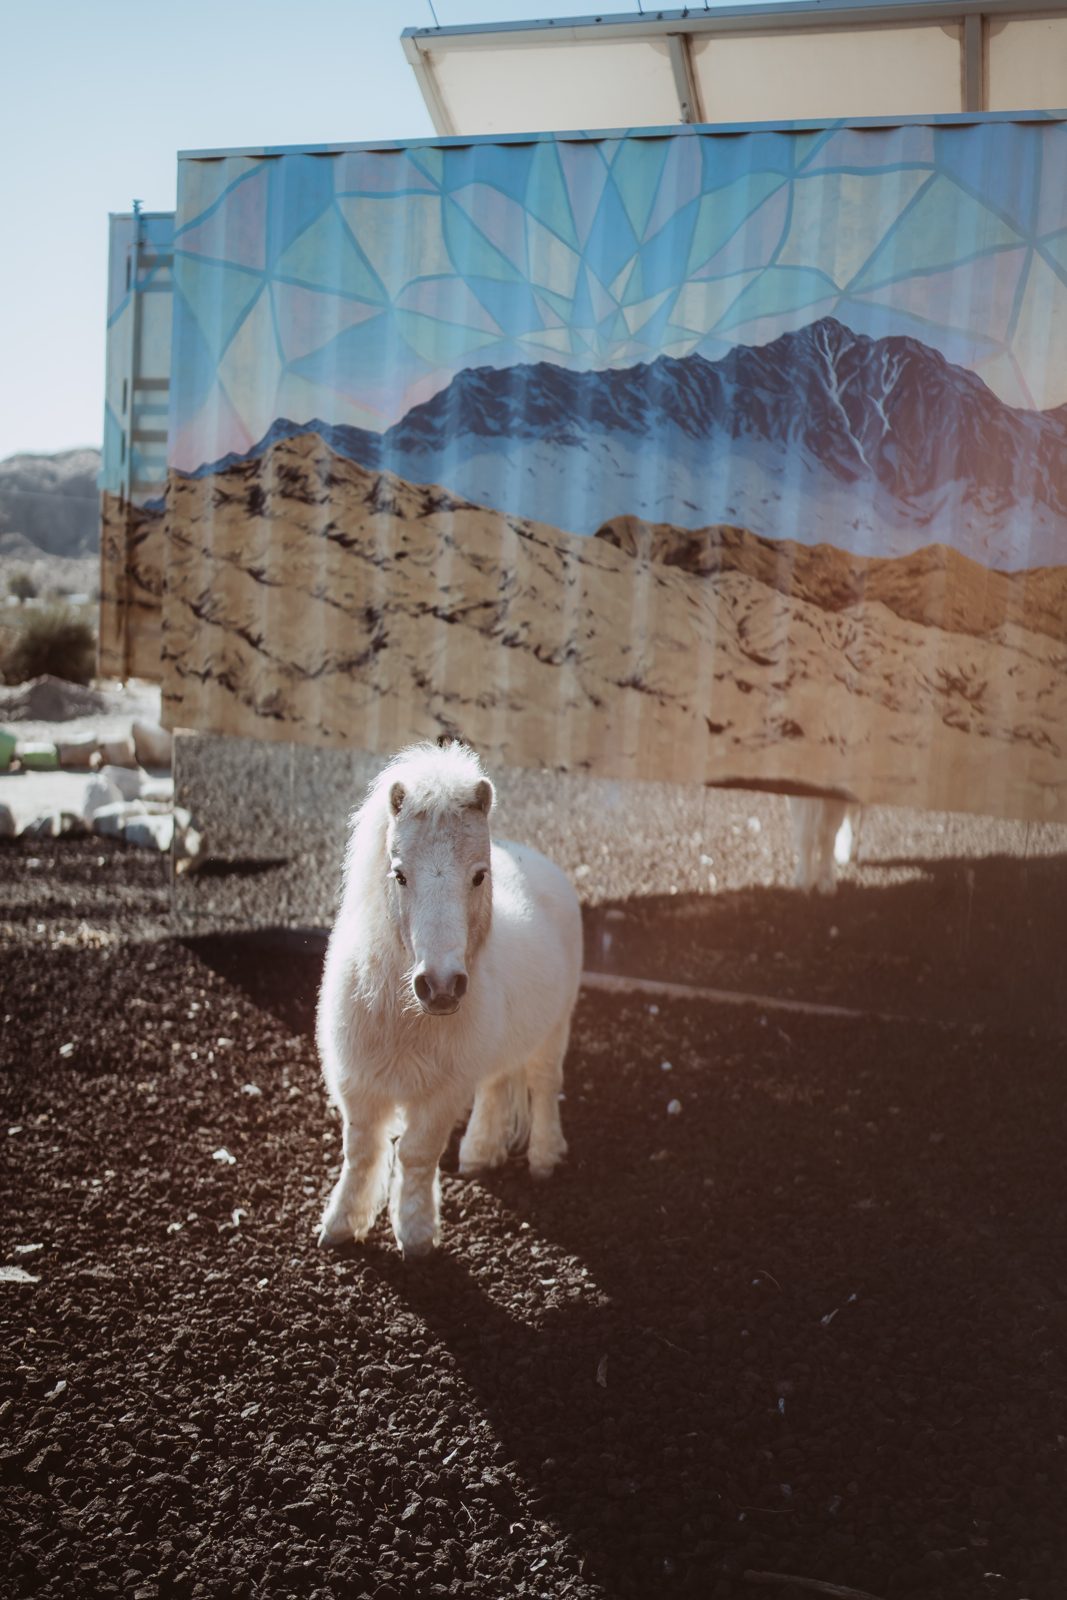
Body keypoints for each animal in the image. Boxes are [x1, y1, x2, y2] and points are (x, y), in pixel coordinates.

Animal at [316, 741, 583, 1259]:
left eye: (479, 876)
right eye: (399, 875)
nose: (439, 986)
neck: (403, 1012)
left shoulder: (441, 1093)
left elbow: (416, 1153)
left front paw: (416, 1235)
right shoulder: (357, 1083)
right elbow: (360, 1151)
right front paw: (341, 1226)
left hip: (555, 1028)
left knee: (543, 1084)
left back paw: (544, 1157)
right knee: (496, 1084)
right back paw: (479, 1155)